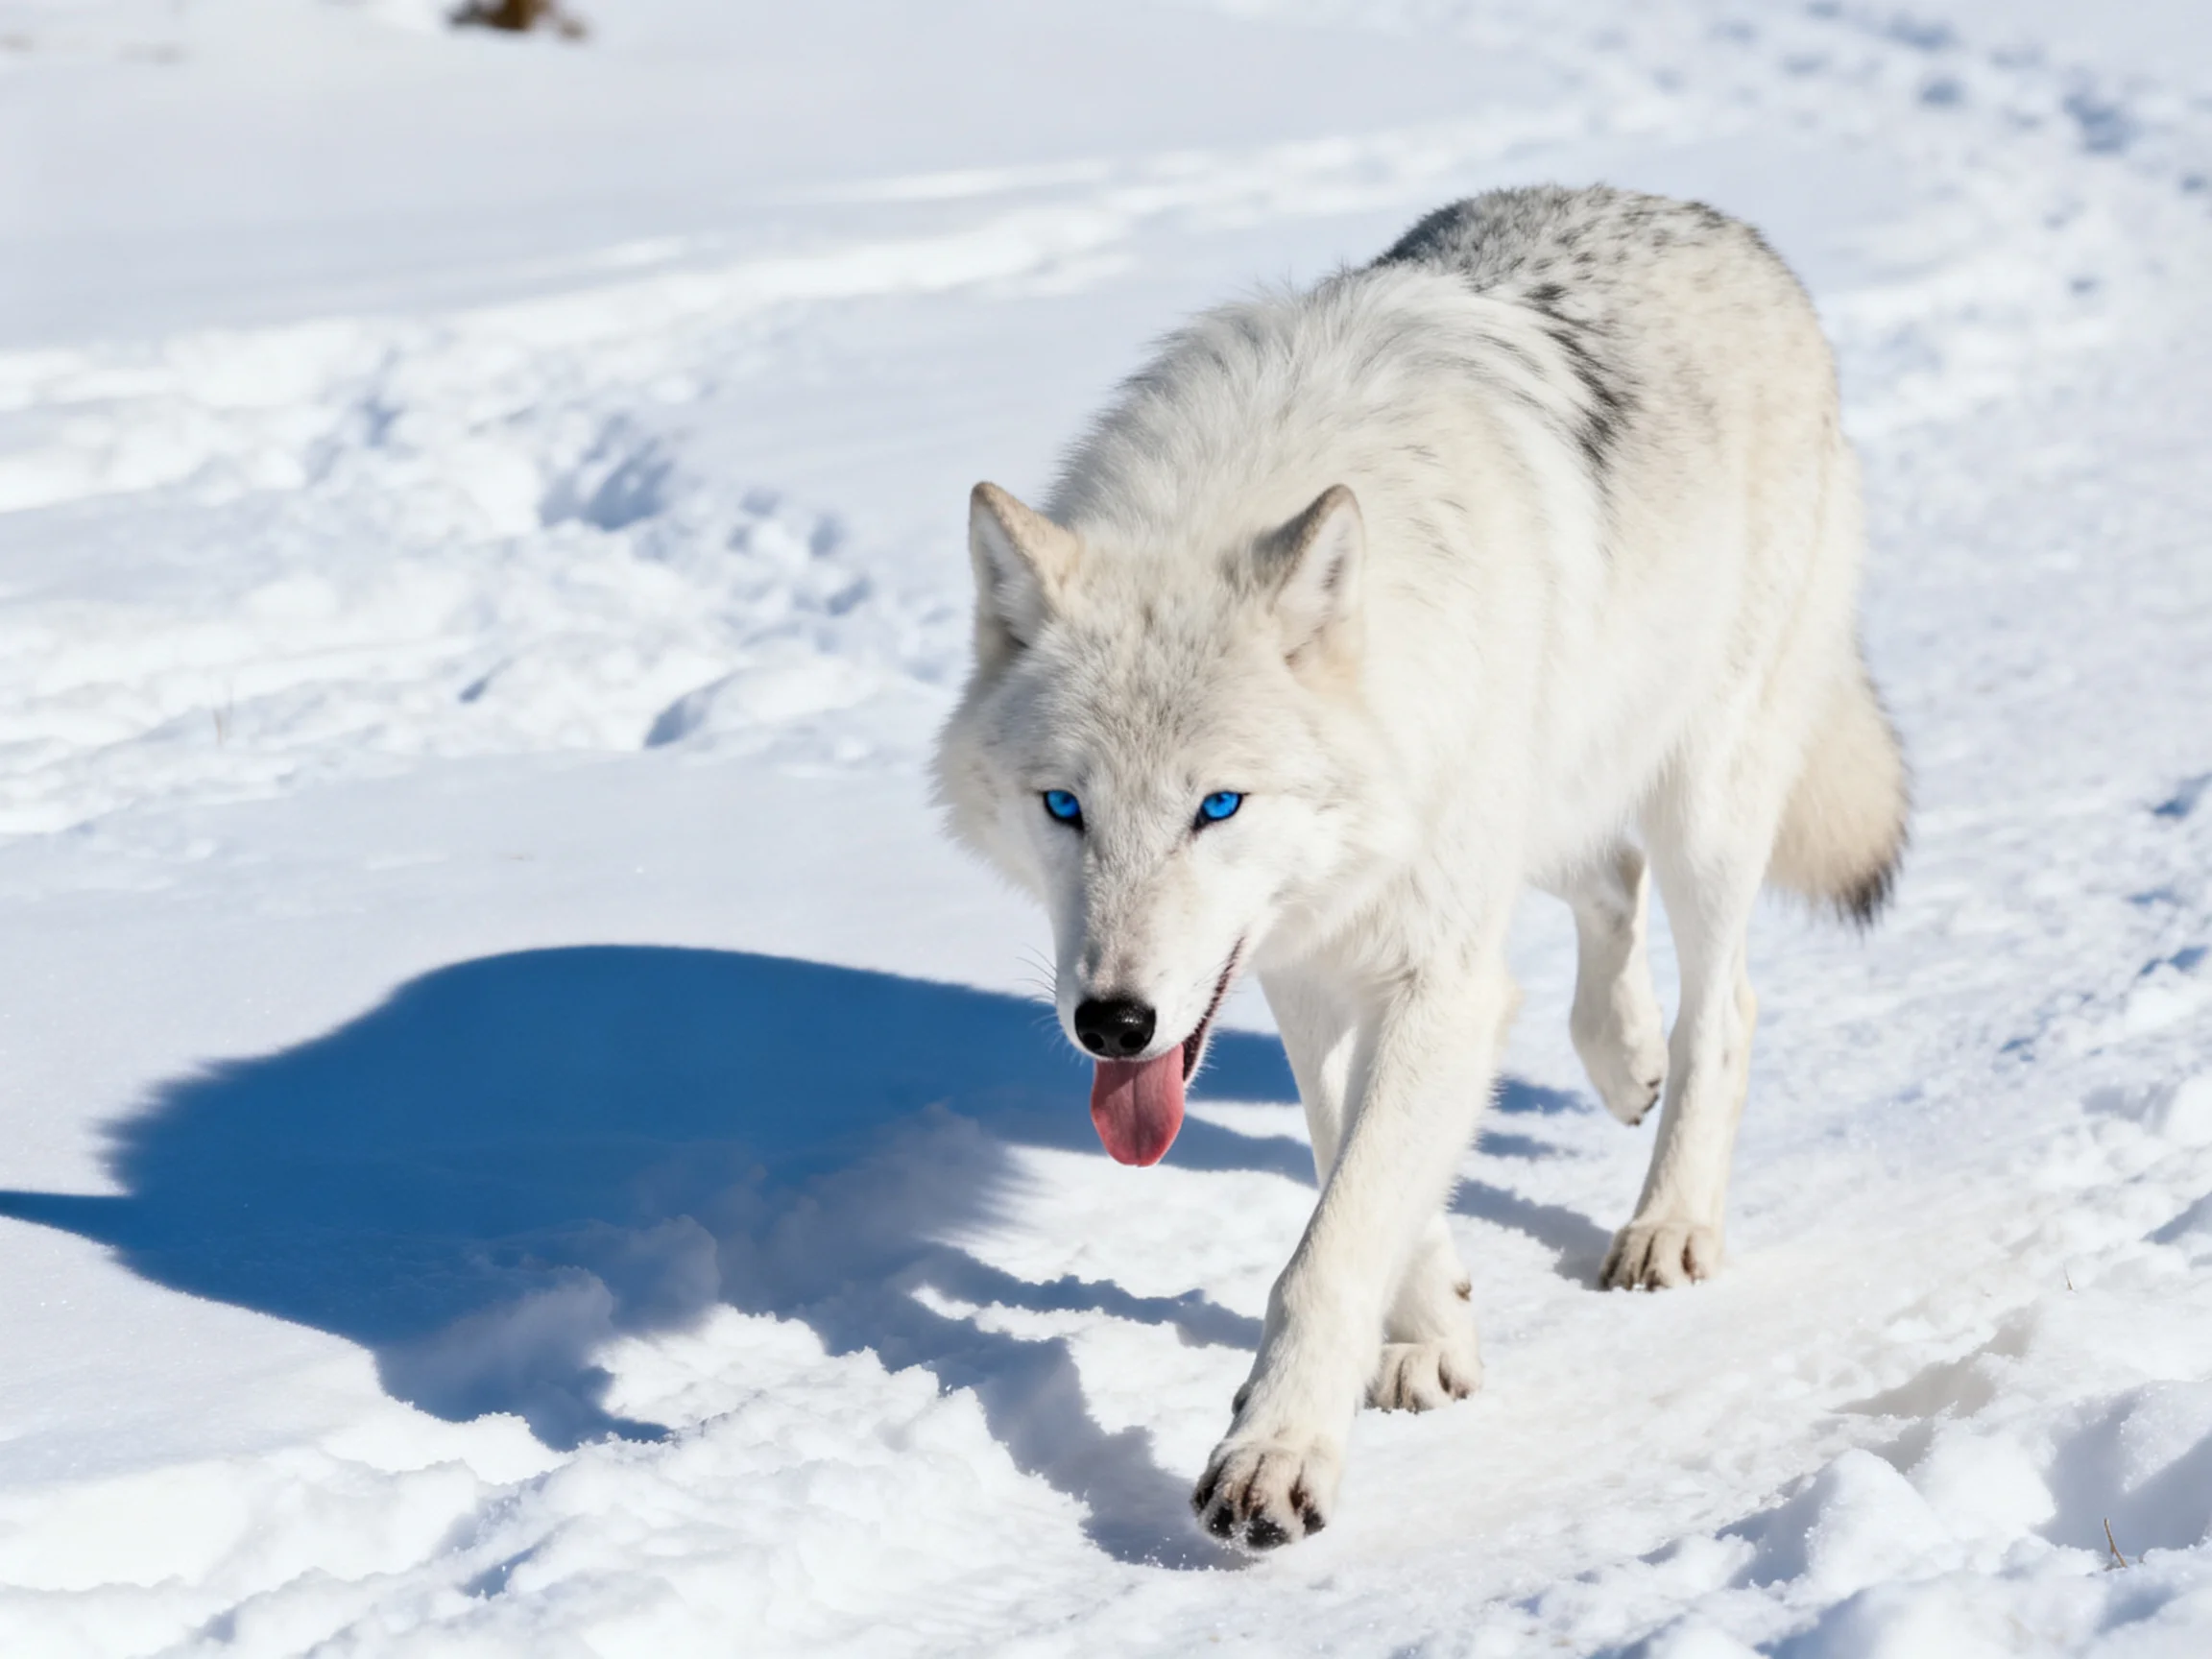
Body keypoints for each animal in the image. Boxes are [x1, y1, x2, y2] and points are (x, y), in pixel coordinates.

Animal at [933, 185, 1906, 1550]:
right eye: (1065, 807)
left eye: (1218, 806)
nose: (1113, 1024)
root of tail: (1708, 217)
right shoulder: (1304, 966)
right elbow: (1354, 1155)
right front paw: (1429, 1327)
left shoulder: (1430, 966)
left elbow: (1333, 1238)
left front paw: (1276, 1453)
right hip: (1554, 788)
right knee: (1606, 889)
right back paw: (1621, 1061)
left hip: (1702, 791)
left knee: (1727, 1003)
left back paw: (1669, 1221)